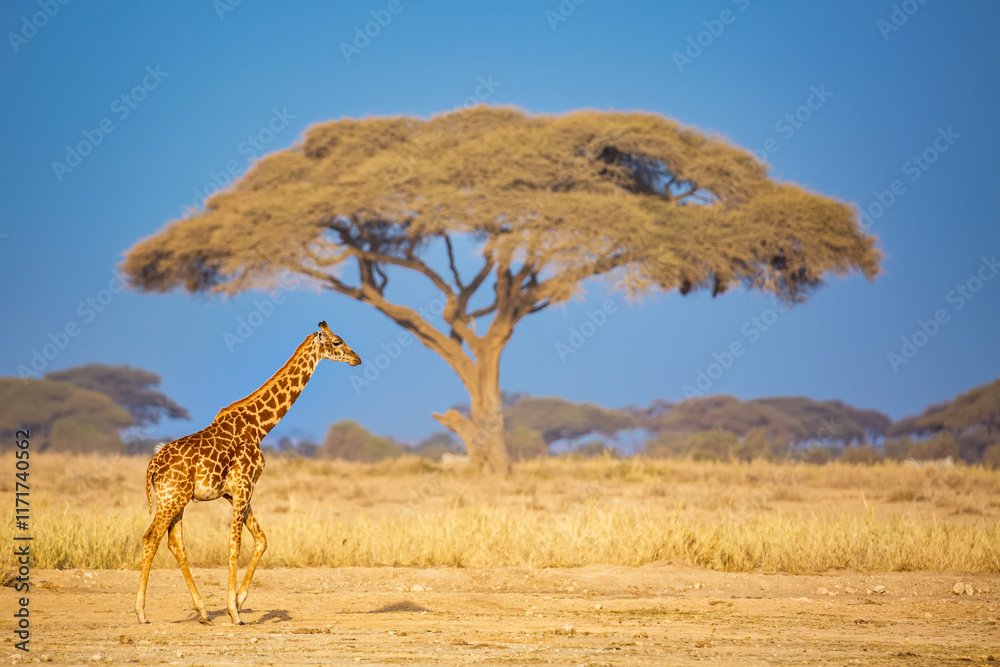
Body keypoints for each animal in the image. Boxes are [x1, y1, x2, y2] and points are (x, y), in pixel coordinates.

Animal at [134, 321, 361, 625]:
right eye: (337, 342)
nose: (356, 358)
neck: (259, 426)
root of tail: (152, 467)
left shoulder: (236, 492)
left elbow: (261, 539)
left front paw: (240, 601)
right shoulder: (244, 486)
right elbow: (235, 545)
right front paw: (234, 611)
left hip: (177, 499)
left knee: (175, 543)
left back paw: (203, 611)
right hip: (172, 498)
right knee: (151, 538)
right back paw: (141, 612)